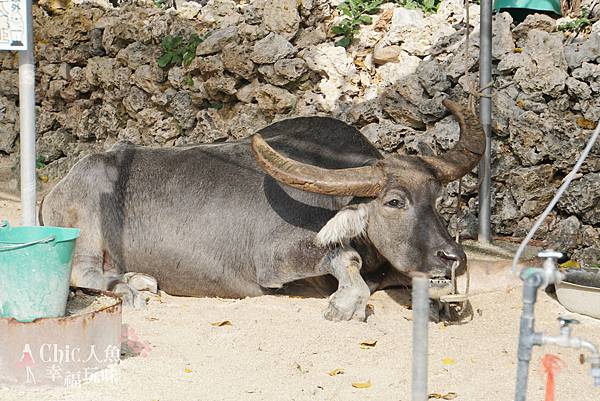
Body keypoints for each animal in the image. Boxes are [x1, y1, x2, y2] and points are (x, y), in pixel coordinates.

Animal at [42, 98, 482, 320]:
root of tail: (57, 188)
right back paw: (130, 290)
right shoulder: (276, 261)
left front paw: (442, 303)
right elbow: (347, 259)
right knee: (82, 271)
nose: (453, 258)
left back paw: (140, 278)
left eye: (436, 197)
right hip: (89, 218)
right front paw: (347, 303)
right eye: (394, 201)